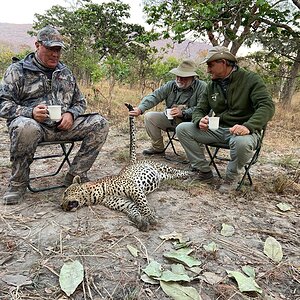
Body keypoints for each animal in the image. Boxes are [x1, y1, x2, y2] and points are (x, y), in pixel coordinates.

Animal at [61, 102, 191, 231]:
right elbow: (133, 210)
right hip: (163, 176)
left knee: (176, 170)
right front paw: (140, 221)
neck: (97, 195)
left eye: (66, 193)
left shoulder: (134, 189)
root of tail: (131, 162)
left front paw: (150, 217)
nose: (62, 206)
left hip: (159, 165)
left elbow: (142, 205)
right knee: (173, 175)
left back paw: (190, 173)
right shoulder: (123, 202)